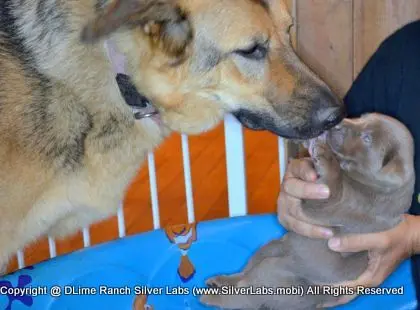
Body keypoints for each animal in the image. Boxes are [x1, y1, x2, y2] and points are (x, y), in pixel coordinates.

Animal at [202, 112, 416, 308]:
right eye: (361, 118)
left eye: (367, 138)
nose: (336, 124)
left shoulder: (336, 204)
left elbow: (332, 185)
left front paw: (325, 153)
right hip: (272, 247)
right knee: (245, 274)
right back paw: (220, 280)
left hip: (271, 275)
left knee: (242, 298)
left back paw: (211, 297)